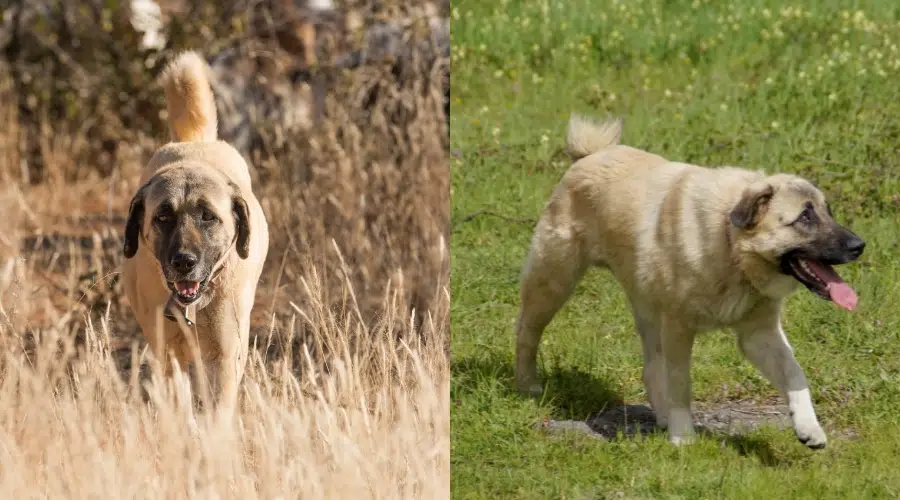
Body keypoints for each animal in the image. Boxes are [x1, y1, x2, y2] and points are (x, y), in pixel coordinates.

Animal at [124, 51, 270, 418]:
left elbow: (218, 412)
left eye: (208, 217)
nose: (184, 262)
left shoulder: (225, 357)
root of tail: (195, 142)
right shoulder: (169, 355)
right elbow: (180, 408)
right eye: (163, 217)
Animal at [516, 114, 868, 450]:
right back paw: (527, 385)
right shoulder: (679, 328)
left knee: (651, 368)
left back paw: (661, 416)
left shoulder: (759, 335)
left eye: (827, 212)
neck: (729, 244)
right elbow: (680, 384)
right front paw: (683, 436)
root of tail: (591, 154)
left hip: (646, 310)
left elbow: (795, 374)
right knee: (527, 333)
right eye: (805, 217)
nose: (859, 245)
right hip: (553, 283)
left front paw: (809, 427)